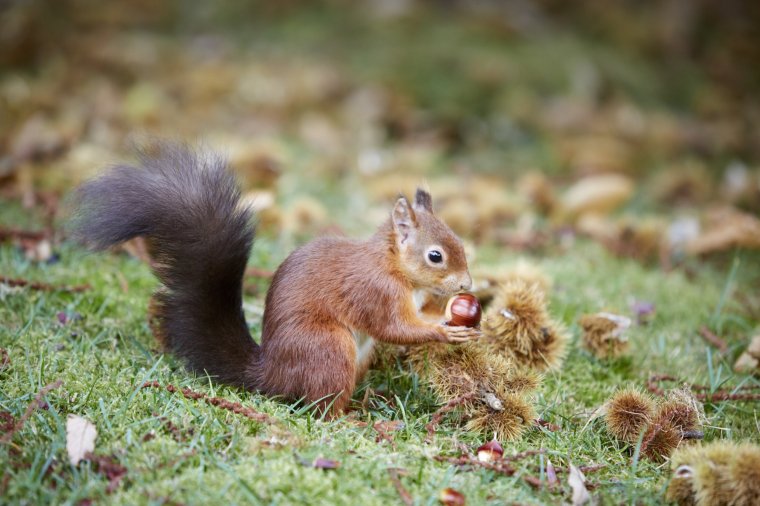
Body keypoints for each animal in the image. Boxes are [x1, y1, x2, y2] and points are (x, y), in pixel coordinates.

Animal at [75, 142, 480, 416]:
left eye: (461, 243)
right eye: (435, 256)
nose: (466, 286)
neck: (395, 268)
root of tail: (272, 373)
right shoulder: (374, 292)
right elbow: (395, 327)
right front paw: (445, 329)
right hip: (329, 348)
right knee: (321, 408)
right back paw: (353, 418)